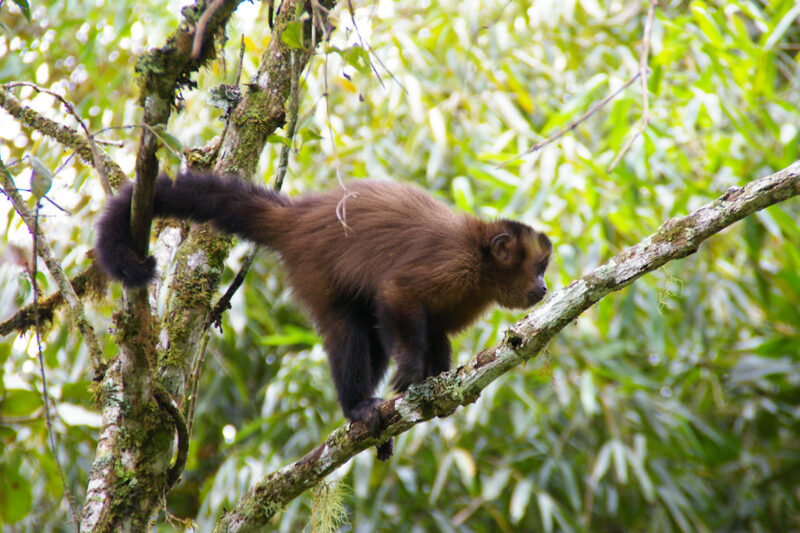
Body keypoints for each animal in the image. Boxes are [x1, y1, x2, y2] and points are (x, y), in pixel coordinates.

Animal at [95, 172, 552, 460]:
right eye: (539, 267)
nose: (545, 287)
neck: (482, 264)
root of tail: (298, 216)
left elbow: (434, 330)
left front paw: (437, 380)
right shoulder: (452, 263)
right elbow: (398, 293)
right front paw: (411, 371)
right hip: (314, 264)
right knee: (348, 328)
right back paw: (356, 407)